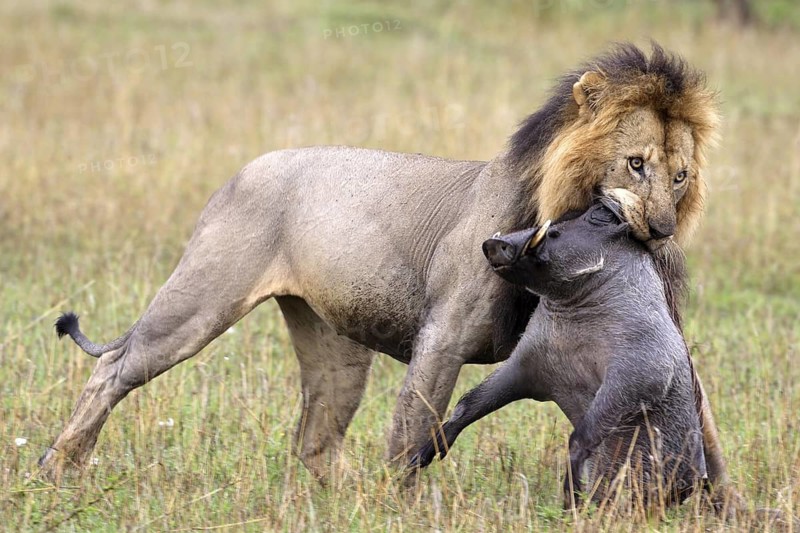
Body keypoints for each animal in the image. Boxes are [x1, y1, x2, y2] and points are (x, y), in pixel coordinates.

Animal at [42, 42, 735, 508]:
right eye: (636, 163)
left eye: (680, 176)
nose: (661, 229)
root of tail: (242, 170)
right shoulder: (444, 336)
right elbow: (413, 426)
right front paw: (398, 506)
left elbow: (701, 419)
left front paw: (721, 504)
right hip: (200, 302)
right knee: (114, 367)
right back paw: (58, 467)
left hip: (336, 354)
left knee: (315, 441)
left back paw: (338, 501)